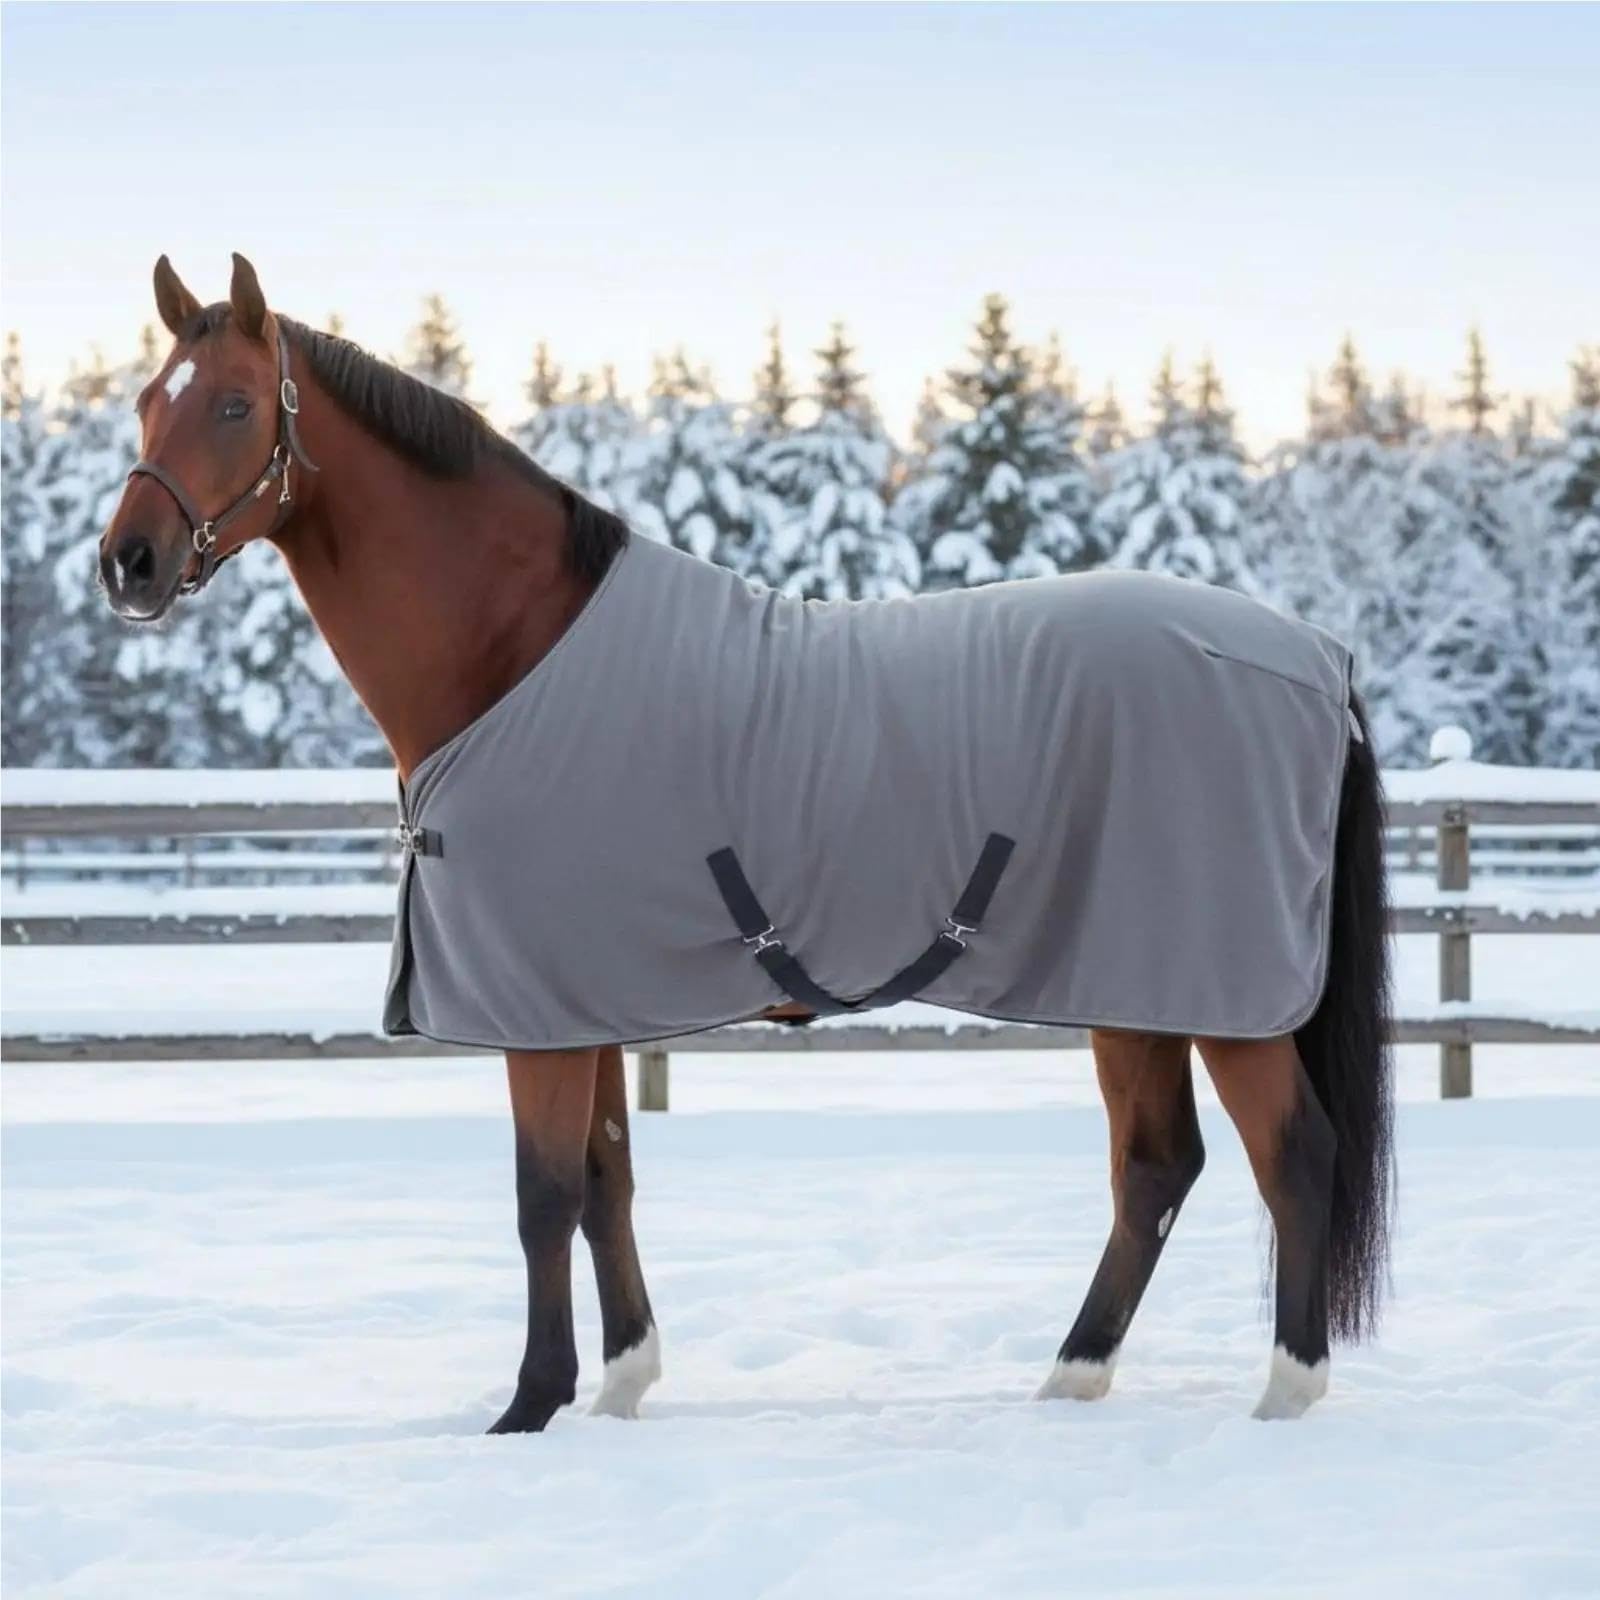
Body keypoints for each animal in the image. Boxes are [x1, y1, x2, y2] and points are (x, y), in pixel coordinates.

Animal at [99, 253, 1395, 1430]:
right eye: (146, 400)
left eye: (234, 403)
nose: (128, 563)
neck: (516, 653)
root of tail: (1316, 661)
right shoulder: (583, 998)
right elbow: (607, 1180)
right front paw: (622, 1384)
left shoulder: (540, 1010)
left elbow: (542, 1193)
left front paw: (530, 1405)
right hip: (1134, 987)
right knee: (1156, 1166)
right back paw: (1070, 1378)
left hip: (1223, 994)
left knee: (1292, 1153)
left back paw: (1284, 1395)